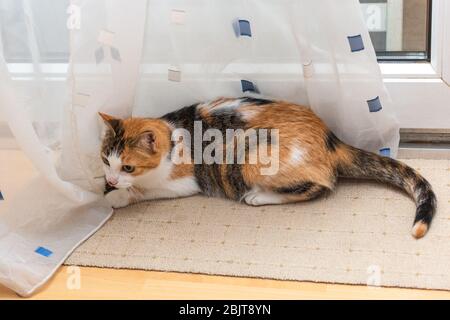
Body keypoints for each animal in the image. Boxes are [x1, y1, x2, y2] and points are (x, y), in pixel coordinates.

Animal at [98, 97, 436, 238]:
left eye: (128, 167)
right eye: (105, 160)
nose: (112, 179)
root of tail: (330, 138)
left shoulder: (183, 182)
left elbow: (143, 191)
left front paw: (115, 197)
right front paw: (104, 189)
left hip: (252, 160)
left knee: (321, 185)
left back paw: (258, 197)